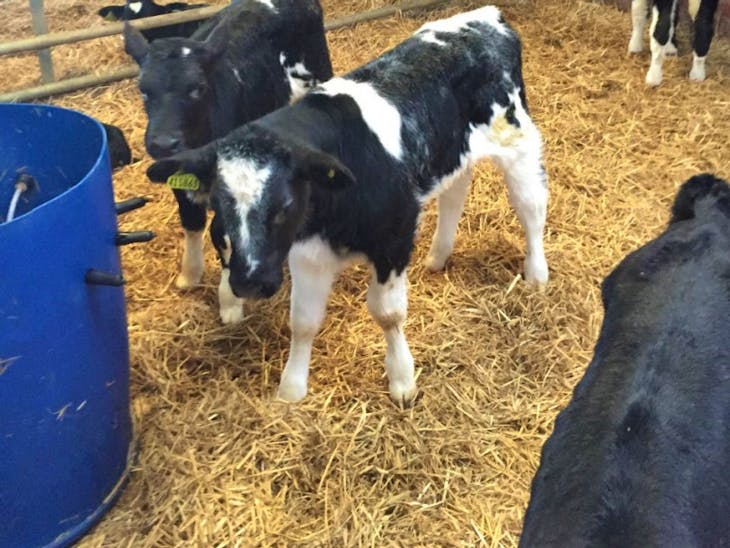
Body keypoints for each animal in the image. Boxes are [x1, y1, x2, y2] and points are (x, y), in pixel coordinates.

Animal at [124, 0, 332, 324]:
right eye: (143, 89)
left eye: (197, 87)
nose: (162, 143)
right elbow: (192, 221)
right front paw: (190, 274)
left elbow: (221, 234)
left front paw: (230, 304)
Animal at [146, 6, 549, 405]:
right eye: (219, 202)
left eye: (286, 204)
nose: (249, 281)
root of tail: (486, 17)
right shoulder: (308, 253)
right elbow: (303, 321)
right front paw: (291, 389)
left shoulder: (394, 239)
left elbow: (388, 314)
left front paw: (402, 380)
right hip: (453, 152)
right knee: (456, 191)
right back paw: (438, 256)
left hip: (518, 141)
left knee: (531, 207)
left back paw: (537, 273)